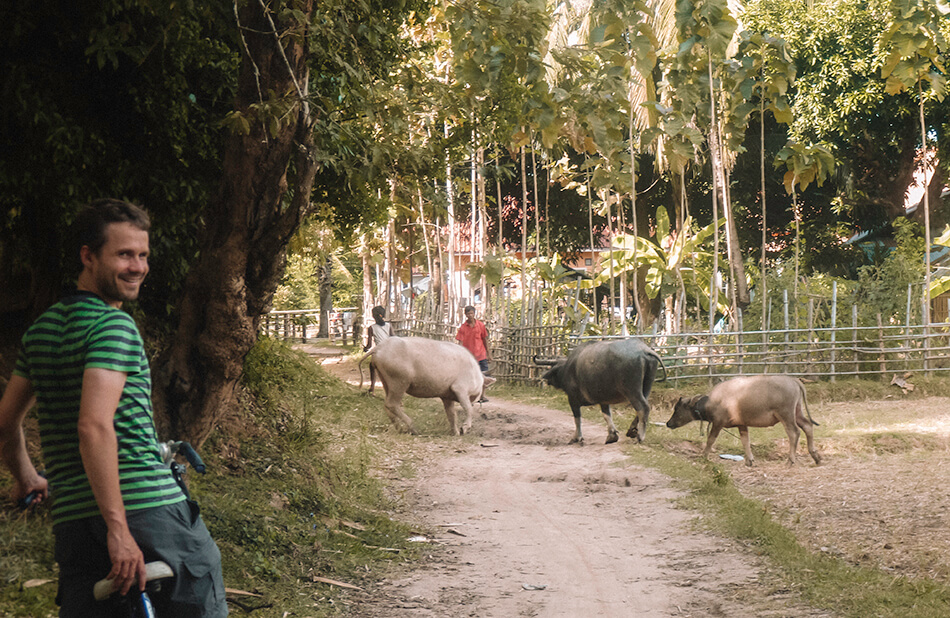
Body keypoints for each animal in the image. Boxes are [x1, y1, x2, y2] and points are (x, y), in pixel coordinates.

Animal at [664, 372, 820, 464]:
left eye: (677, 409)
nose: (668, 423)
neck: (712, 402)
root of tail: (794, 380)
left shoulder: (718, 423)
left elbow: (710, 440)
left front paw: (704, 456)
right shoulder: (742, 424)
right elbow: (745, 441)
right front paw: (749, 460)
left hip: (786, 415)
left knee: (794, 432)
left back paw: (791, 460)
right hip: (797, 412)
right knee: (807, 426)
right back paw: (816, 456)